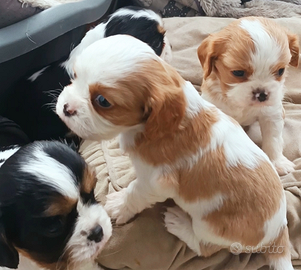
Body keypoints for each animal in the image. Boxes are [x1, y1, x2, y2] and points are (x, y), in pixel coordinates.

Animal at [55, 34, 290, 268]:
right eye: (74, 76)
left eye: (102, 101)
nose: (66, 108)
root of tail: (280, 231)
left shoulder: (156, 183)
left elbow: (135, 193)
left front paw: (120, 205)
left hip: (211, 226)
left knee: (204, 247)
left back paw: (179, 224)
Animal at [197, 17, 298, 177]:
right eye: (238, 72)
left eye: (281, 71)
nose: (262, 94)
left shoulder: (272, 114)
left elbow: (273, 139)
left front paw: (277, 163)